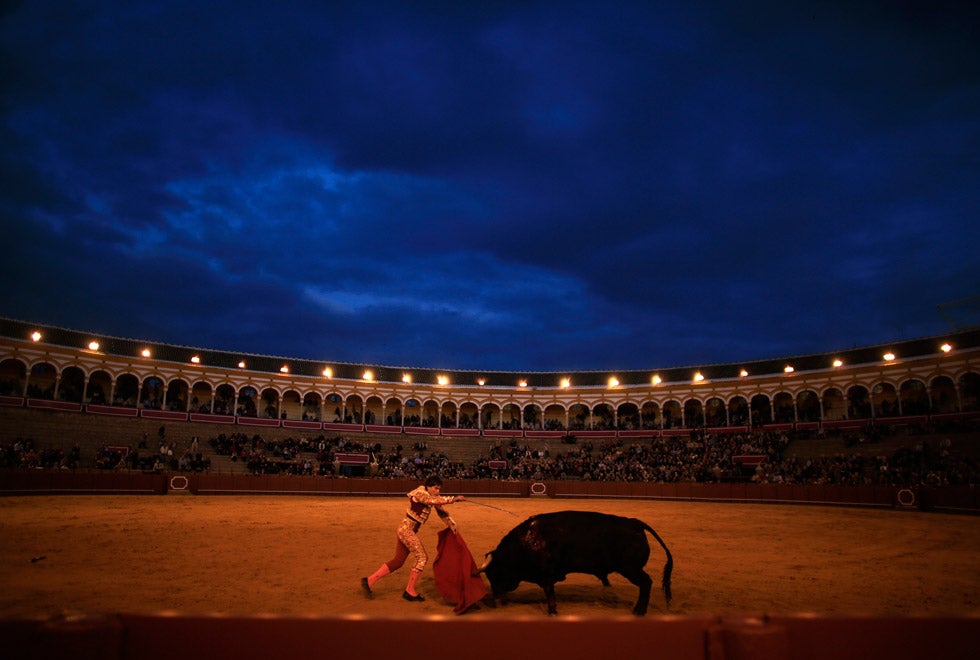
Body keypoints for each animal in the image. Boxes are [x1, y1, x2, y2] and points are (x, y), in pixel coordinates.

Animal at [476, 510, 672, 612]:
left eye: (494, 574)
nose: (495, 599)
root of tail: (635, 523)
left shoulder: (546, 575)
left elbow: (549, 593)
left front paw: (552, 611)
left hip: (630, 568)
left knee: (646, 583)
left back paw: (639, 611)